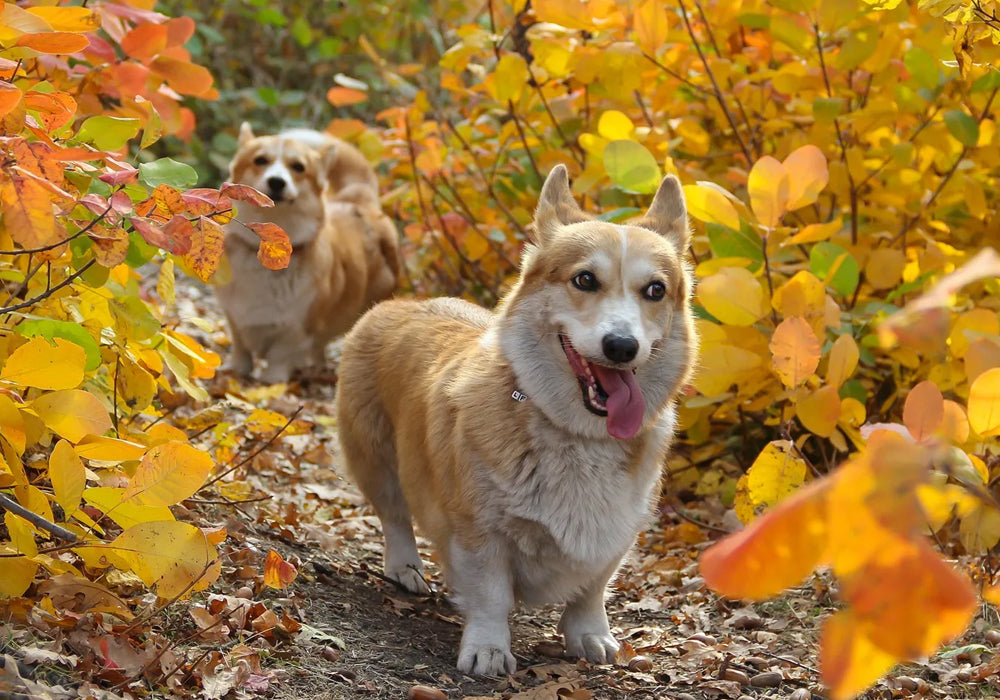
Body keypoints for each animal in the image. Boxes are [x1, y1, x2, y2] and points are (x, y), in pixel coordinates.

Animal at [217, 124, 400, 382]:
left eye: (298, 167)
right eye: (260, 160)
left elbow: (281, 354)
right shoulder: (233, 314)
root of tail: (358, 199)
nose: (276, 182)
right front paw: (236, 370)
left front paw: (271, 380)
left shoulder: (299, 326)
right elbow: (240, 347)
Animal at [336, 167, 696, 676]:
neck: (576, 434)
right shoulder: (478, 529)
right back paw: (405, 568)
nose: (622, 346)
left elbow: (592, 591)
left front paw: (591, 636)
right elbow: (491, 595)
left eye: (656, 290)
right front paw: (488, 649)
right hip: (376, 458)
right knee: (394, 515)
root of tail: (398, 302)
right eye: (585, 279)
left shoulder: (617, 532)